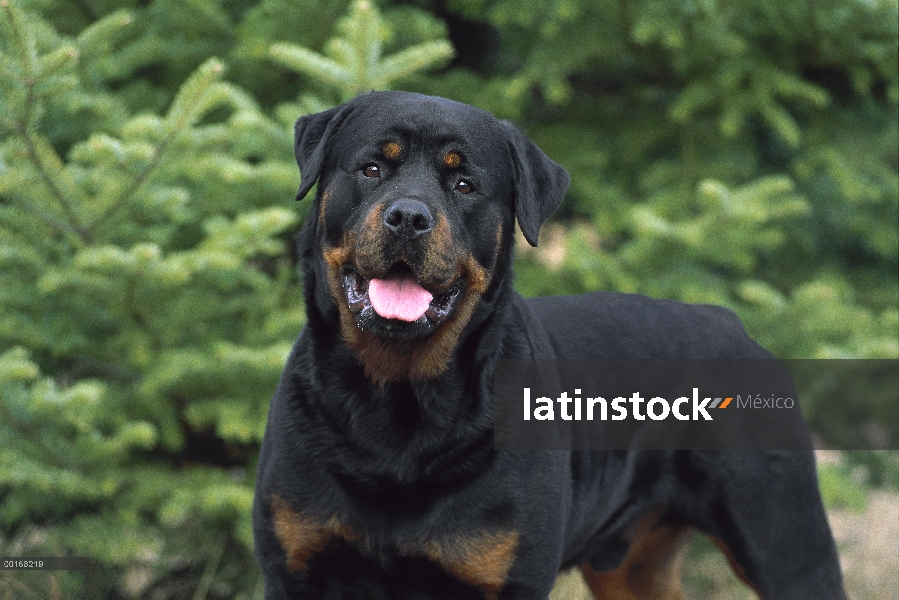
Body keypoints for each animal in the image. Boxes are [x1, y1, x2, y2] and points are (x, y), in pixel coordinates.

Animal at [251, 91, 844, 596]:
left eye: (464, 185)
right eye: (372, 168)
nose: (408, 216)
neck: (397, 408)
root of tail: (730, 322)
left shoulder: (508, 579)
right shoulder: (296, 569)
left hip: (786, 541)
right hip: (632, 569)